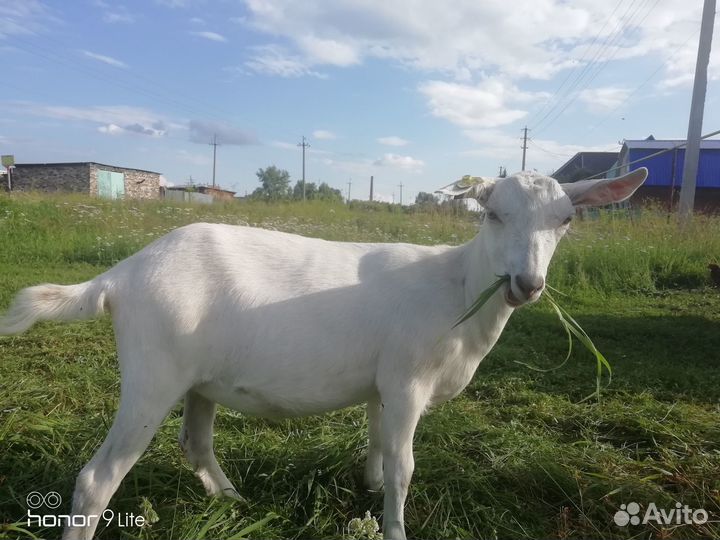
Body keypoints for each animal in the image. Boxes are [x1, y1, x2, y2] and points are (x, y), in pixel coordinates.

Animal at [0, 168, 647, 540]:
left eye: (567, 220)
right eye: (492, 214)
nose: (525, 284)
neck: (459, 286)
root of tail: (121, 275)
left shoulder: (383, 384)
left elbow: (379, 444)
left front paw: (369, 490)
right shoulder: (407, 380)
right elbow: (405, 465)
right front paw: (394, 528)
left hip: (197, 379)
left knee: (195, 442)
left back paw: (234, 499)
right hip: (151, 373)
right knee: (97, 479)